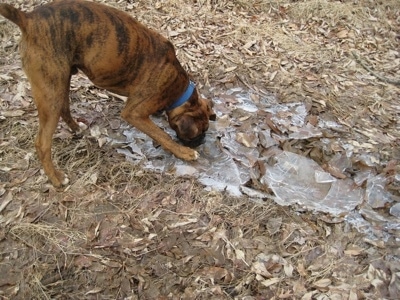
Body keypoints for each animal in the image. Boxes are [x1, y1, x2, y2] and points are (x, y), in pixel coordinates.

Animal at [0, 0, 216, 188]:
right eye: (199, 132)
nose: (202, 141)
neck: (178, 87)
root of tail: (28, 18)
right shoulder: (134, 113)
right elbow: (162, 135)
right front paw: (184, 153)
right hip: (50, 90)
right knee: (42, 143)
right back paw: (56, 178)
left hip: (60, 81)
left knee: (64, 107)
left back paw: (75, 128)